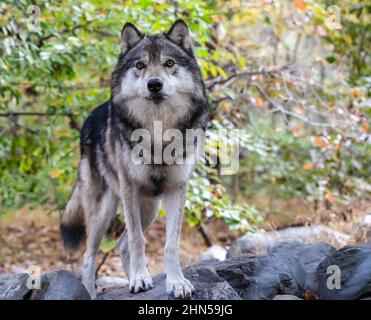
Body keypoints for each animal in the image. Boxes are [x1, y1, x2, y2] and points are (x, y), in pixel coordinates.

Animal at [62, 19, 211, 300]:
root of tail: (89, 119)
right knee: (89, 256)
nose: (154, 84)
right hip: (105, 210)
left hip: (150, 208)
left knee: (121, 246)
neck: (158, 131)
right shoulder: (129, 188)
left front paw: (176, 282)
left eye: (169, 63)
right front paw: (141, 279)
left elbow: (170, 244)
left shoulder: (177, 189)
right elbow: (138, 239)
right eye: (140, 65)